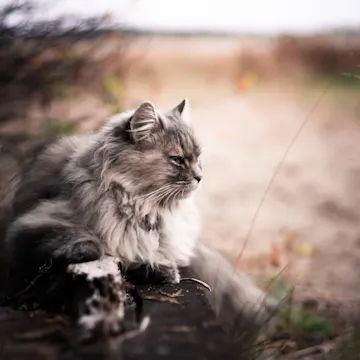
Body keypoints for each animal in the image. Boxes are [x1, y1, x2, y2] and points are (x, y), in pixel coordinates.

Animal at [3, 98, 278, 330]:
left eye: (198, 158)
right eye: (178, 159)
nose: (200, 177)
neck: (143, 208)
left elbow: (139, 258)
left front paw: (162, 269)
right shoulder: (31, 225)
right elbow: (86, 244)